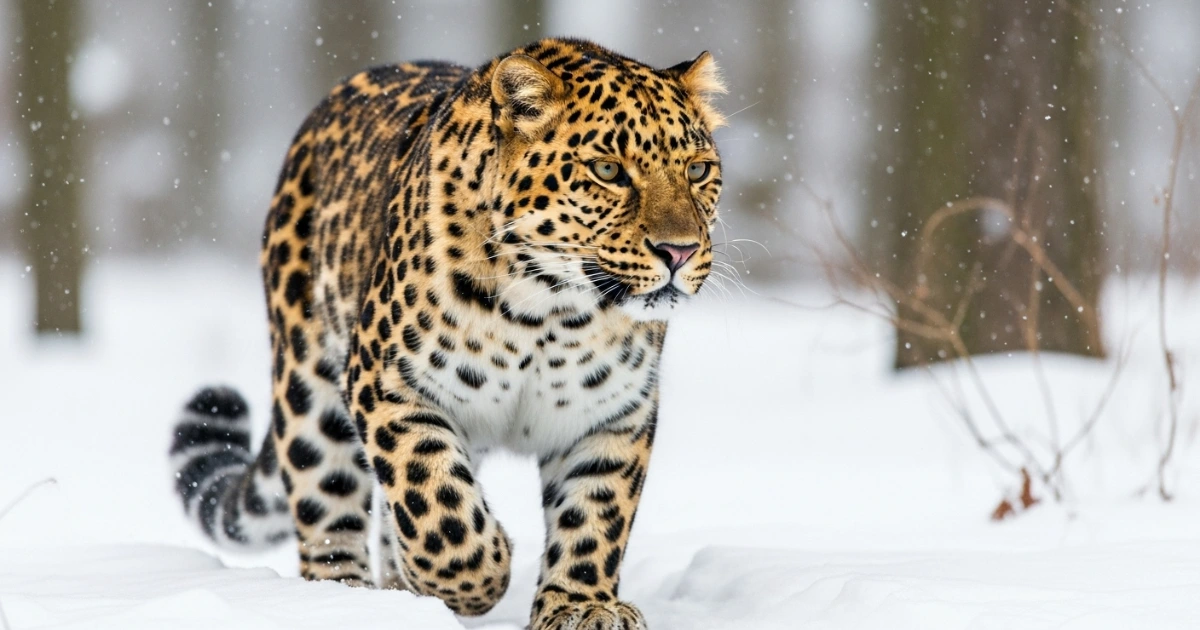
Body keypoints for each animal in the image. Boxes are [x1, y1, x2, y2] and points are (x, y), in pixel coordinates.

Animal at [169, 37, 725, 629]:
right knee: (328, 505)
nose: (679, 251)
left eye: (697, 170)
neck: (552, 308)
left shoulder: (611, 415)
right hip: (308, 384)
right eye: (608, 170)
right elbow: (437, 505)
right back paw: (345, 602)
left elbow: (595, 517)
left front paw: (582, 607)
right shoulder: (389, 385)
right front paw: (478, 574)